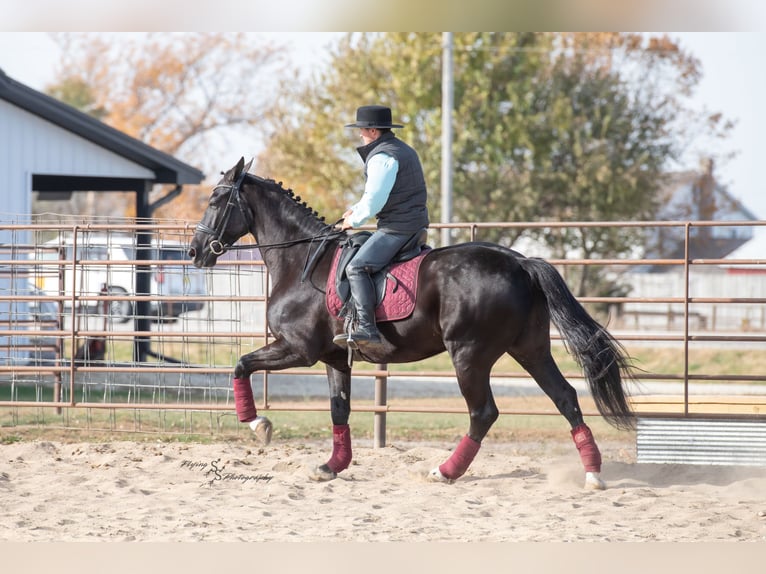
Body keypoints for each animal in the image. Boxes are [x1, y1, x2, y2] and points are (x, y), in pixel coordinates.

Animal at [188, 157, 635, 489]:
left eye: (216, 199)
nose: (195, 251)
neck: (301, 263)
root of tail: (520, 261)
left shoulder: (298, 350)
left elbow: (241, 365)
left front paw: (258, 425)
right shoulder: (334, 357)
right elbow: (338, 409)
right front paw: (332, 466)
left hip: (470, 355)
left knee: (484, 413)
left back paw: (446, 471)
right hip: (530, 349)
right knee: (565, 398)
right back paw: (593, 474)